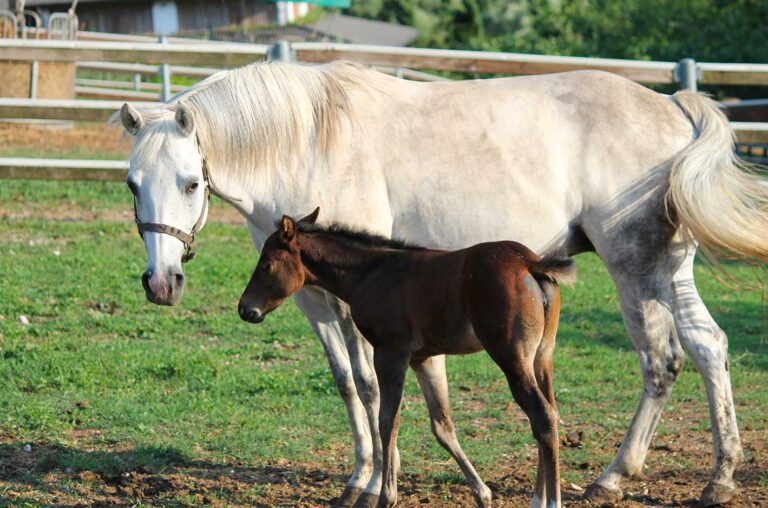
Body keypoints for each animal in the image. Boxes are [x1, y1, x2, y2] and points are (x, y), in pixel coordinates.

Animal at [237, 208, 576, 508]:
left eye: (266, 265)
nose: (245, 308)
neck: (370, 273)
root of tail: (530, 263)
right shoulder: (425, 359)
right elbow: (442, 426)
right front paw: (482, 494)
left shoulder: (391, 352)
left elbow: (388, 420)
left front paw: (385, 496)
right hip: (542, 357)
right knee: (550, 414)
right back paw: (538, 497)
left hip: (511, 357)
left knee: (542, 417)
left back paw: (550, 502)